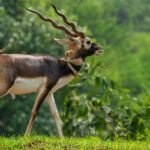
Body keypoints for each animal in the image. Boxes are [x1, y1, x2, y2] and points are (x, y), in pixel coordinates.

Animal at [0, 4, 102, 137]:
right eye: (88, 41)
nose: (100, 48)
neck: (60, 66)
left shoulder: (50, 93)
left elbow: (56, 115)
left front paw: (62, 138)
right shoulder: (44, 89)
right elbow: (34, 112)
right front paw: (25, 137)